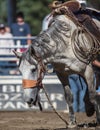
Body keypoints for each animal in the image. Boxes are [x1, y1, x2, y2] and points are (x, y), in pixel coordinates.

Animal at [13, 0, 100, 128]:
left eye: (34, 69)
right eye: (20, 71)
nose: (28, 99)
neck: (65, 44)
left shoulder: (87, 70)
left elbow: (93, 95)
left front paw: (98, 120)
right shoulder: (62, 74)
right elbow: (69, 97)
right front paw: (72, 122)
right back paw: (88, 108)